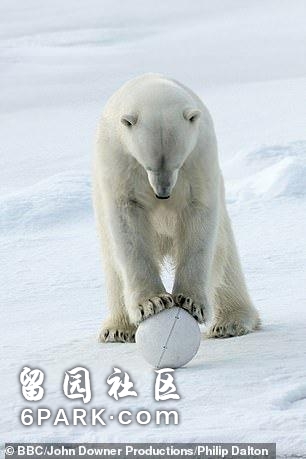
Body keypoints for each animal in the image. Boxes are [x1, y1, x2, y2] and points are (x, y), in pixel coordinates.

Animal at [92, 74, 260, 342]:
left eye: (177, 163)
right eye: (148, 165)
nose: (163, 194)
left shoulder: (199, 154)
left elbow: (199, 214)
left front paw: (190, 302)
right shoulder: (118, 158)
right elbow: (127, 221)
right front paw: (152, 303)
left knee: (225, 259)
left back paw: (230, 322)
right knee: (113, 265)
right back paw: (117, 329)